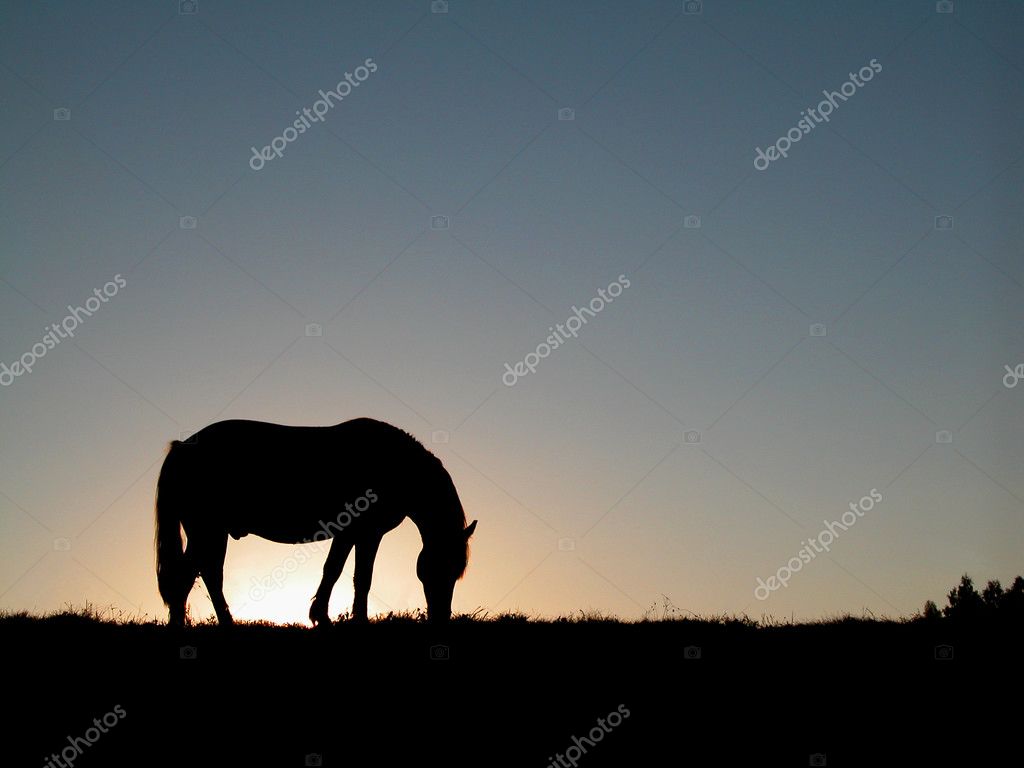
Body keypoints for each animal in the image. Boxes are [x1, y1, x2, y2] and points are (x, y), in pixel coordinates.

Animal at [154, 417, 475, 626]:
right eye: (442, 566)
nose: (441, 617)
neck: (396, 468)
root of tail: (183, 447)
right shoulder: (358, 532)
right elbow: (345, 573)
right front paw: (336, 618)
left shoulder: (362, 535)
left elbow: (351, 574)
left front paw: (339, 617)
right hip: (206, 530)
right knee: (193, 574)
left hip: (210, 533)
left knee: (205, 573)